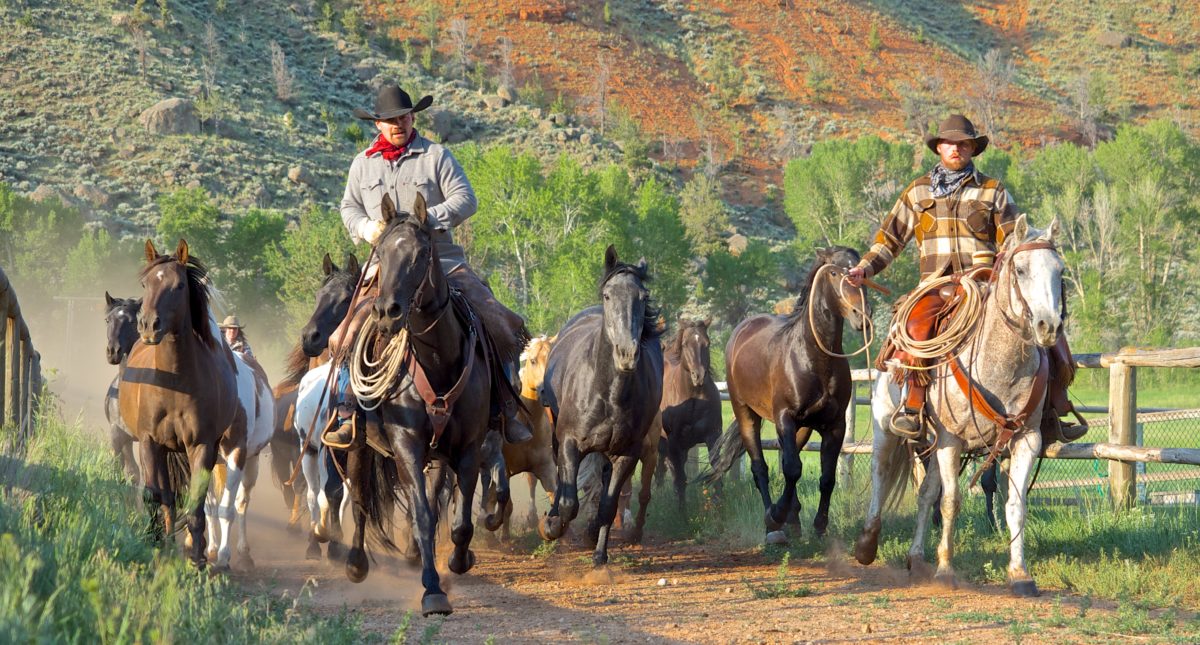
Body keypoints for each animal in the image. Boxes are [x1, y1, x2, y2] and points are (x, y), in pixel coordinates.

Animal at [345, 193, 494, 613]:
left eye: (421, 252)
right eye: (380, 251)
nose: (385, 312)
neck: (437, 359)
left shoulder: (468, 447)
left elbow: (459, 522)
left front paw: (460, 561)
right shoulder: (406, 444)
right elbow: (424, 518)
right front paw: (432, 590)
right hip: (360, 443)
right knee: (361, 498)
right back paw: (356, 562)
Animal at [542, 244, 667, 561]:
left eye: (643, 296)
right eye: (608, 295)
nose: (627, 354)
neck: (608, 394)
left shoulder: (626, 454)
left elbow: (608, 506)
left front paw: (598, 552)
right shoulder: (570, 443)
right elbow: (568, 502)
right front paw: (553, 526)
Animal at [657, 316, 720, 513]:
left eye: (707, 343)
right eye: (685, 344)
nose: (698, 376)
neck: (694, 397)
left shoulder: (713, 436)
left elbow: (717, 470)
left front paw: (720, 507)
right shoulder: (674, 442)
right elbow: (679, 479)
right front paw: (682, 513)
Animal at [705, 245, 868, 541]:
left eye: (860, 271)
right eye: (834, 272)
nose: (861, 315)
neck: (813, 358)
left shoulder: (834, 426)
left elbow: (826, 478)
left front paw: (819, 525)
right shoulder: (785, 418)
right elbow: (792, 469)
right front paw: (777, 515)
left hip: (803, 428)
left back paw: (793, 520)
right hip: (747, 414)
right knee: (761, 467)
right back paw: (774, 522)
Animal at [854, 213, 1060, 594]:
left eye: (1060, 270)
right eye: (1020, 269)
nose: (1048, 326)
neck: (997, 364)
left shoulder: (1026, 439)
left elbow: (1015, 504)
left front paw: (1019, 573)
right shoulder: (952, 440)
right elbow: (951, 502)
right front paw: (946, 569)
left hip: (934, 445)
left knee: (925, 493)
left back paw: (916, 558)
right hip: (886, 428)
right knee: (880, 474)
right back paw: (866, 544)